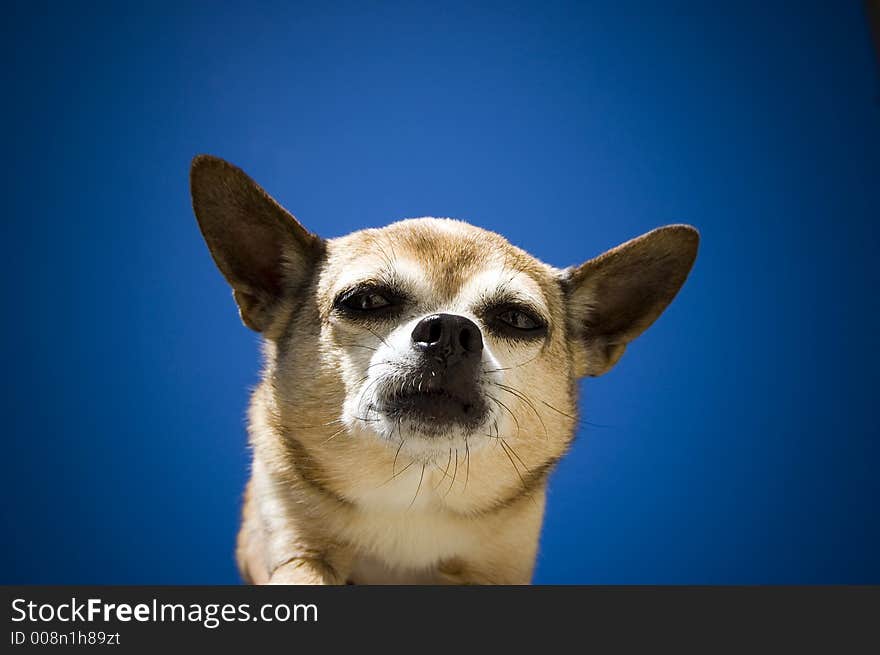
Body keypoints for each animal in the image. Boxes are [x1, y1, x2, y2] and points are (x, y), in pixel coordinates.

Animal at [189, 155, 696, 584]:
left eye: (519, 320)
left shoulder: (496, 570)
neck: (415, 490)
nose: (451, 330)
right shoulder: (294, 546)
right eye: (365, 301)